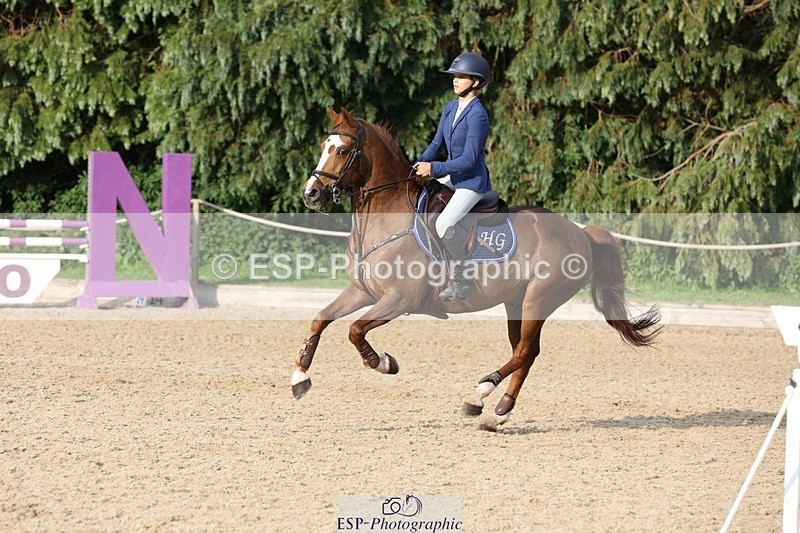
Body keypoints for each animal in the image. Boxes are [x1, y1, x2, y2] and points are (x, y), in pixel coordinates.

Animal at [294, 107, 661, 430]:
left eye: (342, 150)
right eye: (324, 147)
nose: (311, 194)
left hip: (538, 299)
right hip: (516, 303)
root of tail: (581, 232)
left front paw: (383, 363)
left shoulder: (401, 299)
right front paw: (300, 377)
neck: (386, 216)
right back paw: (497, 413)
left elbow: (355, 330)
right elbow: (321, 319)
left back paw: (482, 393)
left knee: (525, 351)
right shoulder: (362, 291)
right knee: (526, 353)